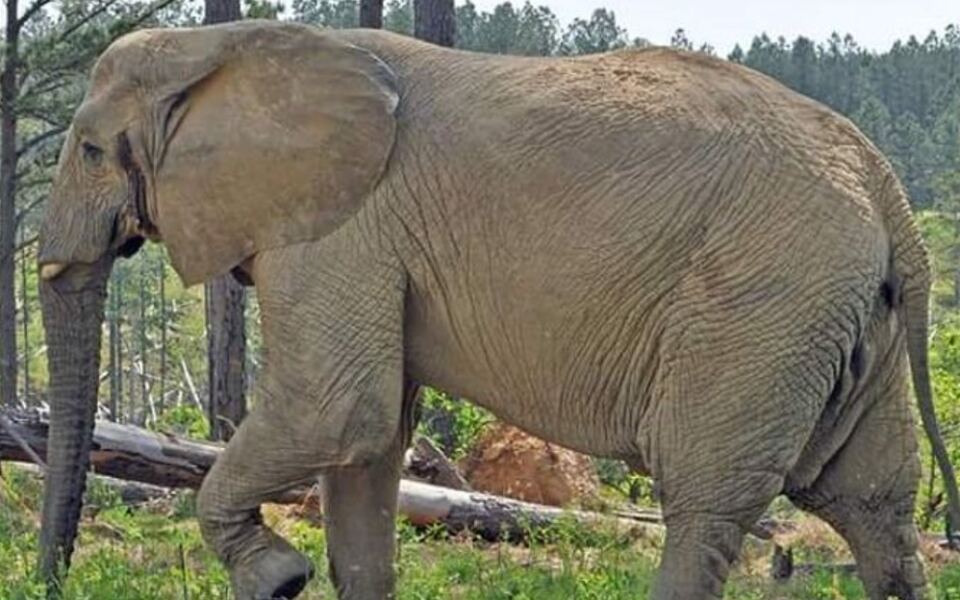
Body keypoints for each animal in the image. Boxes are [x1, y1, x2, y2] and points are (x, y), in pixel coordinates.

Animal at [35, 19, 960, 600]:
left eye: (90, 149)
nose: (51, 581)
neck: (224, 44)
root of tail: (886, 190)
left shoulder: (344, 229)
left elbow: (335, 409)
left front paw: (276, 581)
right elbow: (370, 442)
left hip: (761, 303)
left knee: (707, 499)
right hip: (839, 314)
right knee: (872, 506)